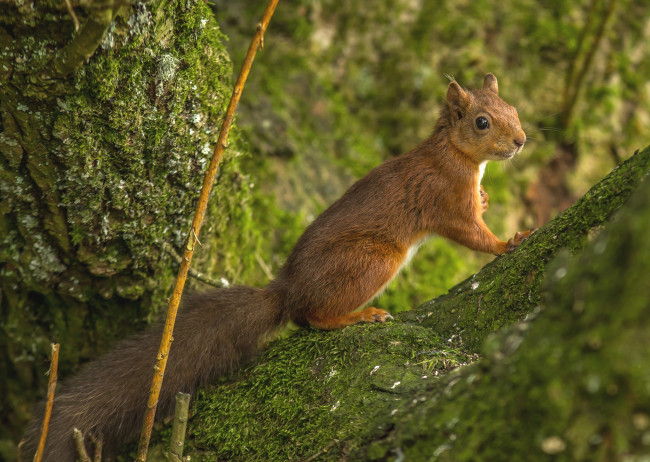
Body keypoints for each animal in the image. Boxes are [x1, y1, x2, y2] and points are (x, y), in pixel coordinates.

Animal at [21, 72, 532, 458]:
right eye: (483, 122)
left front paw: (493, 204)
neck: (454, 154)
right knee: (312, 318)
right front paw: (510, 241)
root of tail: (286, 290)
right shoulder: (446, 198)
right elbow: (471, 234)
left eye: (514, 108)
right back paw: (358, 316)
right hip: (372, 261)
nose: (522, 141)